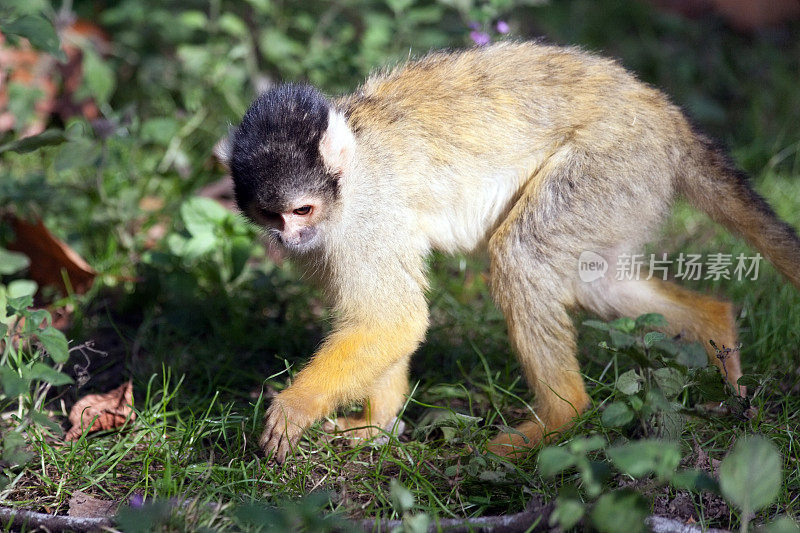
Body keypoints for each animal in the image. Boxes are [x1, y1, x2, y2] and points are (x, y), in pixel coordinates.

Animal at [217, 41, 800, 460]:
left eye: (302, 210)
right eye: (272, 215)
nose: (288, 239)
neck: (350, 175)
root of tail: (667, 118)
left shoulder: (364, 220)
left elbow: (393, 318)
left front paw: (297, 406)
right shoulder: (330, 242)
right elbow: (387, 321)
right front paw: (376, 427)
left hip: (614, 160)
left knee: (524, 254)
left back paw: (563, 417)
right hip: (631, 184)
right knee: (594, 278)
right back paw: (714, 328)